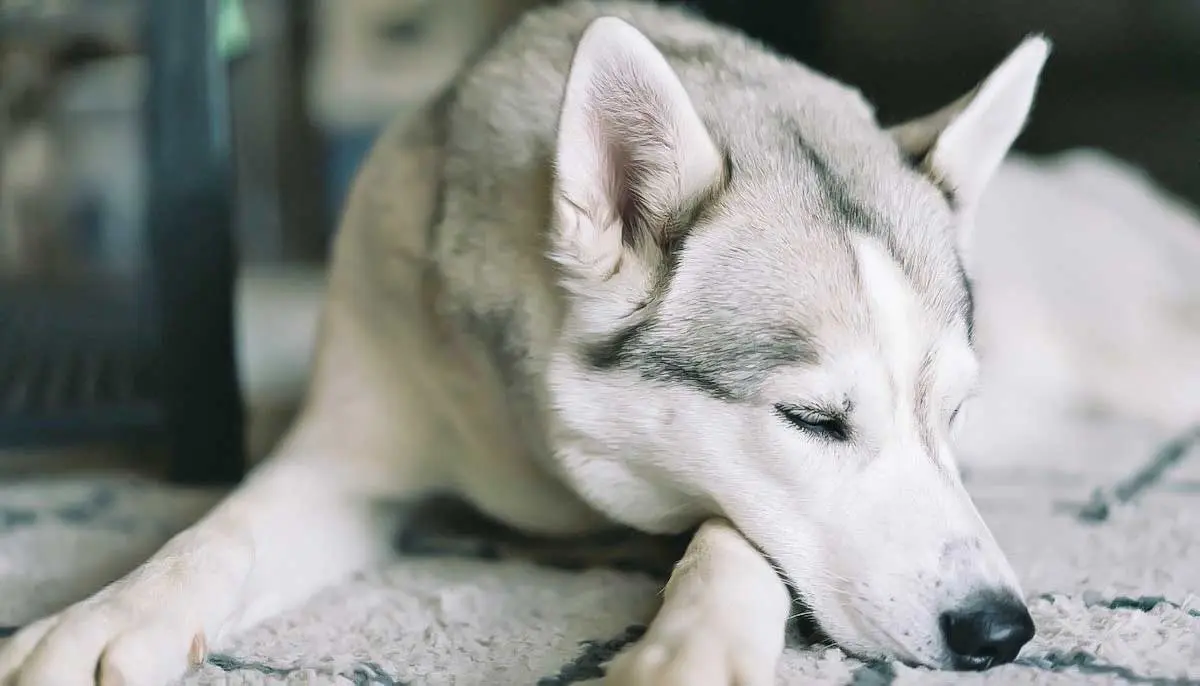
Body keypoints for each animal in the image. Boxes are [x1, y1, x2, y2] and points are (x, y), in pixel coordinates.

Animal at [0, 2, 1051, 681]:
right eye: (813, 419)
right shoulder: (346, 461)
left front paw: (694, 647)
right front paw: (104, 618)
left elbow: (732, 538)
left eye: (953, 413)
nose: (1001, 631)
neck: (541, 458)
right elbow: (214, 539)